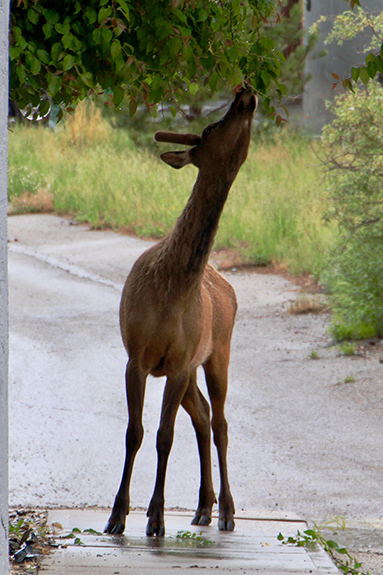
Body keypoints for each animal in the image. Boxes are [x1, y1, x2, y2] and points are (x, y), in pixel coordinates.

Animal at [105, 88, 258, 536]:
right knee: (204, 417)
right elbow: (135, 432)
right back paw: (203, 506)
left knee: (220, 423)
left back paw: (226, 511)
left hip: (216, 353)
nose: (245, 93)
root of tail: (226, 286)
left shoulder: (177, 363)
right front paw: (117, 515)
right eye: (209, 129)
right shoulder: (138, 357)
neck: (172, 289)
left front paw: (154, 517)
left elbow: (163, 435)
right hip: (192, 367)